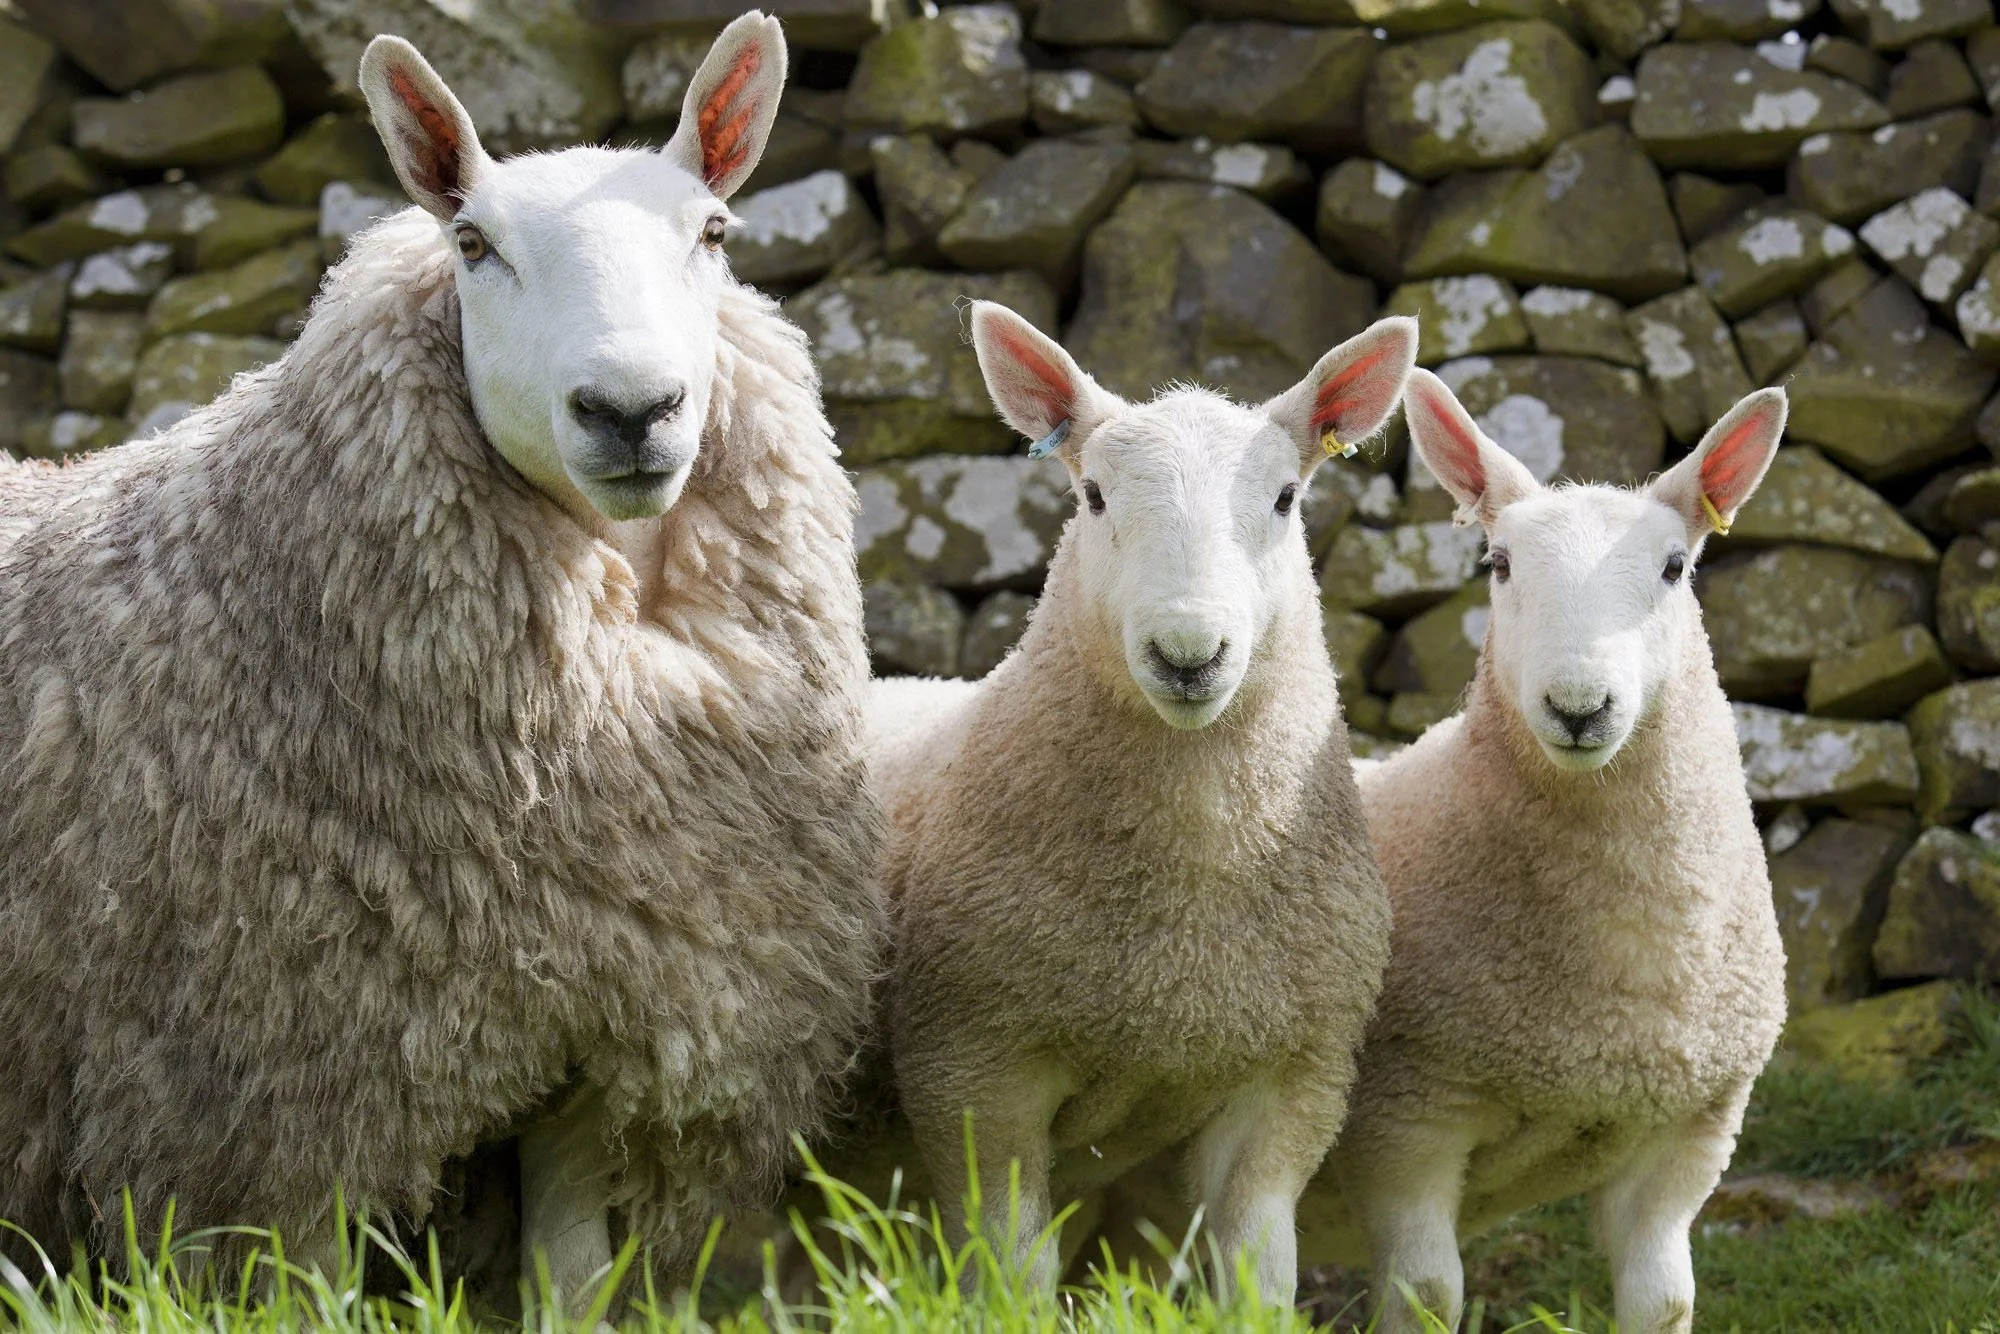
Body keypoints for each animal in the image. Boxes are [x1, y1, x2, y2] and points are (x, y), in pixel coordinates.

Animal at [0, 13, 884, 1304]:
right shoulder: (284, 1085)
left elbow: (571, 1284)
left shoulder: (597, 1030)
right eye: (473, 244)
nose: (633, 409)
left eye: (713, 232)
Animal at [858, 303, 1413, 1305]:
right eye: (1094, 497)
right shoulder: (973, 1071)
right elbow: (1015, 1271)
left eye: (1285, 498)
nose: (1188, 653)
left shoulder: (1291, 1083)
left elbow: (1257, 1275)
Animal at [1283, 373, 1792, 1332]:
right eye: (1499, 563)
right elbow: (1427, 1294)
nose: (1579, 706)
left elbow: (1665, 1301)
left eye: (1675, 567)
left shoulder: (1685, 1136)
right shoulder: (1406, 1117)